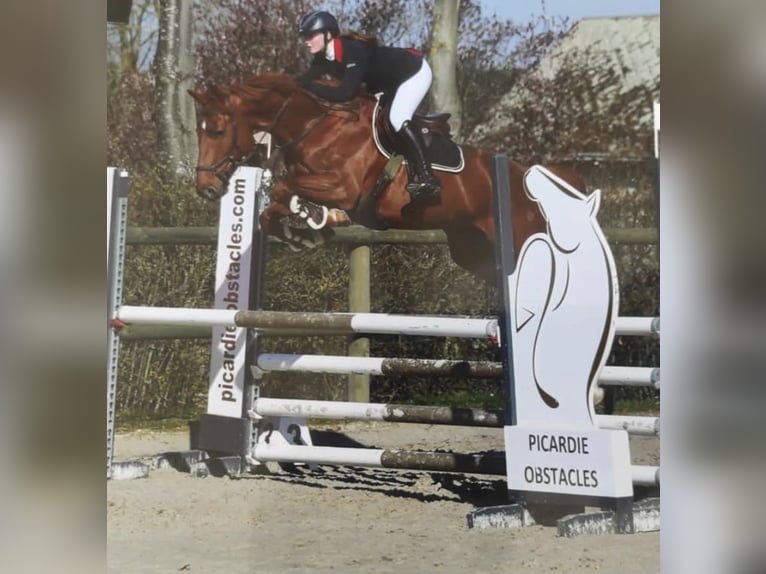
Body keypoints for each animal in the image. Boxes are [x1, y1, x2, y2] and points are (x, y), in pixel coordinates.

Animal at [189, 72, 584, 284]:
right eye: (199, 130)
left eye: (218, 130)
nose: (205, 189)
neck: (316, 127)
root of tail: (527, 175)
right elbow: (273, 208)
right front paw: (303, 232)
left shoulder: (344, 189)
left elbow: (285, 188)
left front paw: (305, 229)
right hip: (473, 249)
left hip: (521, 240)